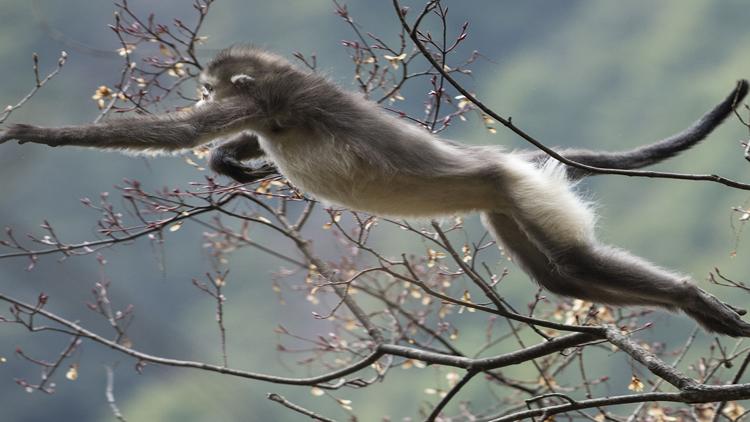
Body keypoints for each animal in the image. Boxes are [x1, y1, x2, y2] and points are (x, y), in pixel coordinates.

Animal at [1, 45, 750, 336]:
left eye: (209, 87)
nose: (204, 93)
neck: (277, 94)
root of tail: (503, 159)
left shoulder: (271, 101)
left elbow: (180, 132)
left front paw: (40, 134)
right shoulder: (267, 109)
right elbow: (220, 141)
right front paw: (231, 162)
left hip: (514, 187)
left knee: (571, 264)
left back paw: (688, 297)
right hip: (505, 197)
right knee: (562, 277)